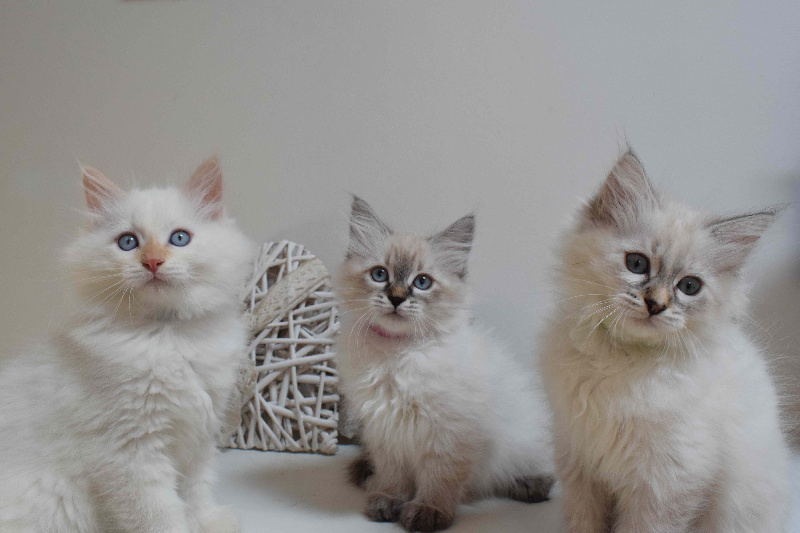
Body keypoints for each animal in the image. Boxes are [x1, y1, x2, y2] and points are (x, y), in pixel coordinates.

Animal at [0, 159, 253, 532]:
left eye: (179, 238)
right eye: (128, 242)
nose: (152, 262)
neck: (168, 335)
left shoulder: (199, 436)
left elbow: (196, 490)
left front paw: (208, 521)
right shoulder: (130, 450)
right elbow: (160, 516)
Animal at [334, 196, 552, 532]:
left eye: (422, 282)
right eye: (380, 275)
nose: (396, 298)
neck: (397, 355)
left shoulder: (448, 433)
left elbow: (439, 480)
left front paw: (427, 513)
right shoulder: (386, 430)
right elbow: (392, 476)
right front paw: (387, 502)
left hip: (524, 437)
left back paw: (529, 485)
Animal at [540, 150, 792, 532]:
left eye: (689, 286)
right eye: (637, 264)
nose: (656, 304)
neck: (621, 364)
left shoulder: (666, 484)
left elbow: (642, 527)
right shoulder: (579, 463)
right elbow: (584, 523)